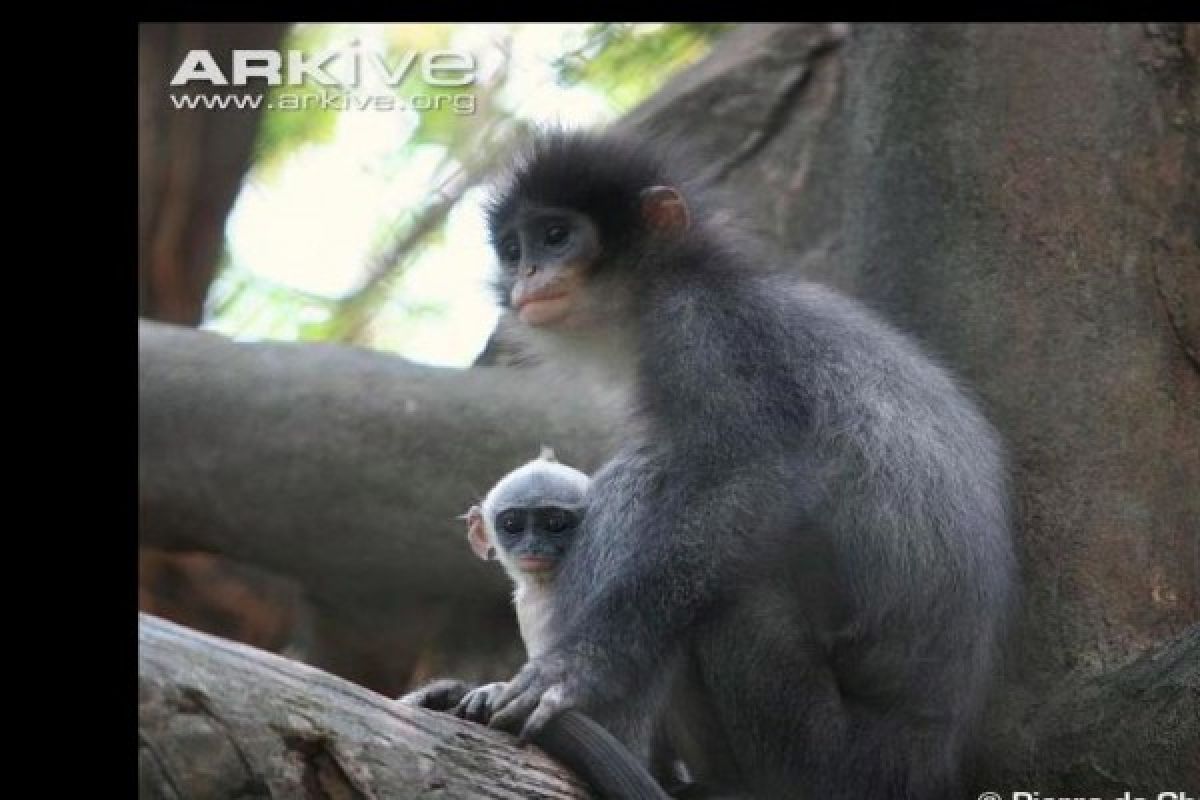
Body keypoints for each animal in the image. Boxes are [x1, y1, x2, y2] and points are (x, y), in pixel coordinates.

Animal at [482, 128, 1017, 796]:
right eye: (513, 248)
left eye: (556, 235)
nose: (527, 271)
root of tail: (924, 759)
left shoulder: (699, 328)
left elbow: (758, 476)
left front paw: (579, 668)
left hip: (821, 747)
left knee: (661, 495)